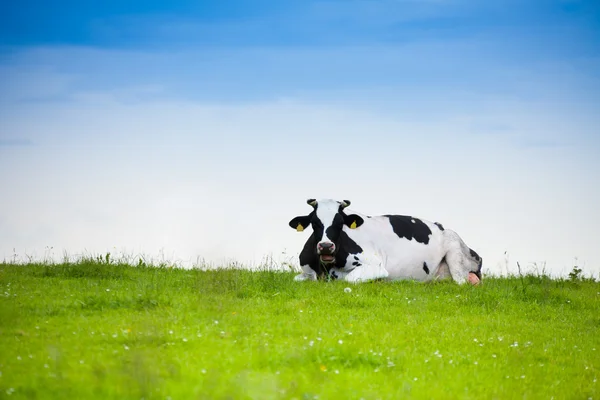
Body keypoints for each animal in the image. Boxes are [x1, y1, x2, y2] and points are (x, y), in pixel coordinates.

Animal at [288, 198, 482, 284]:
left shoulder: (375, 265)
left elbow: (349, 278)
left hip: (455, 249)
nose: (326, 246)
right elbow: (298, 278)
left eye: (340, 222)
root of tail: (441, 226)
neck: (325, 269)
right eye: (314, 222)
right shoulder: (306, 272)